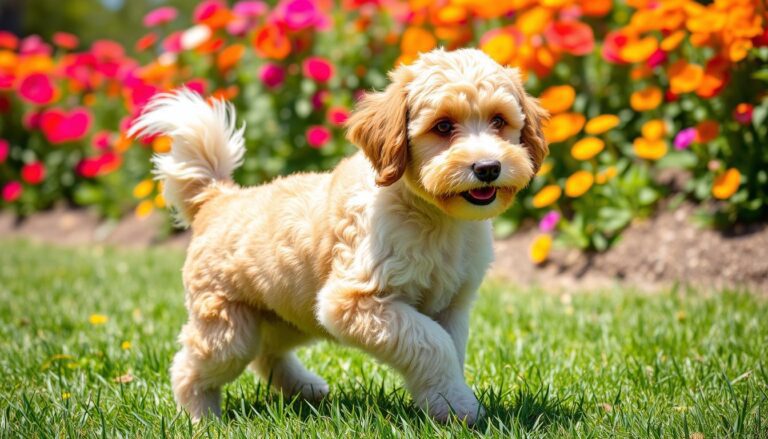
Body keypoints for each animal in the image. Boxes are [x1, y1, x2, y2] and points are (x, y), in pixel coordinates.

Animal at [134, 48, 552, 426]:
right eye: (444, 126)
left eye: (499, 120)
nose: (488, 167)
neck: (435, 218)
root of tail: (219, 197)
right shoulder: (351, 301)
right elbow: (432, 344)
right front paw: (460, 406)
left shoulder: (452, 304)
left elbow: (448, 347)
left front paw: (446, 403)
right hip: (230, 329)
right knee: (190, 367)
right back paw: (201, 419)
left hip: (290, 316)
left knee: (268, 355)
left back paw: (305, 388)